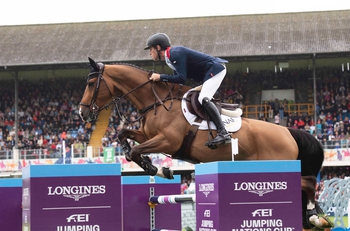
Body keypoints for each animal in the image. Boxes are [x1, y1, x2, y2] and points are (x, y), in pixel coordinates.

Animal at [80, 57, 334, 229]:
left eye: (92, 84)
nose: (83, 113)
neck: (156, 102)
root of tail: (288, 131)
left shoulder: (167, 141)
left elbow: (135, 152)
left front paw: (158, 168)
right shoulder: (147, 135)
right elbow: (124, 137)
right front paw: (156, 167)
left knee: (309, 183)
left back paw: (315, 216)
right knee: (305, 186)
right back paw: (311, 217)